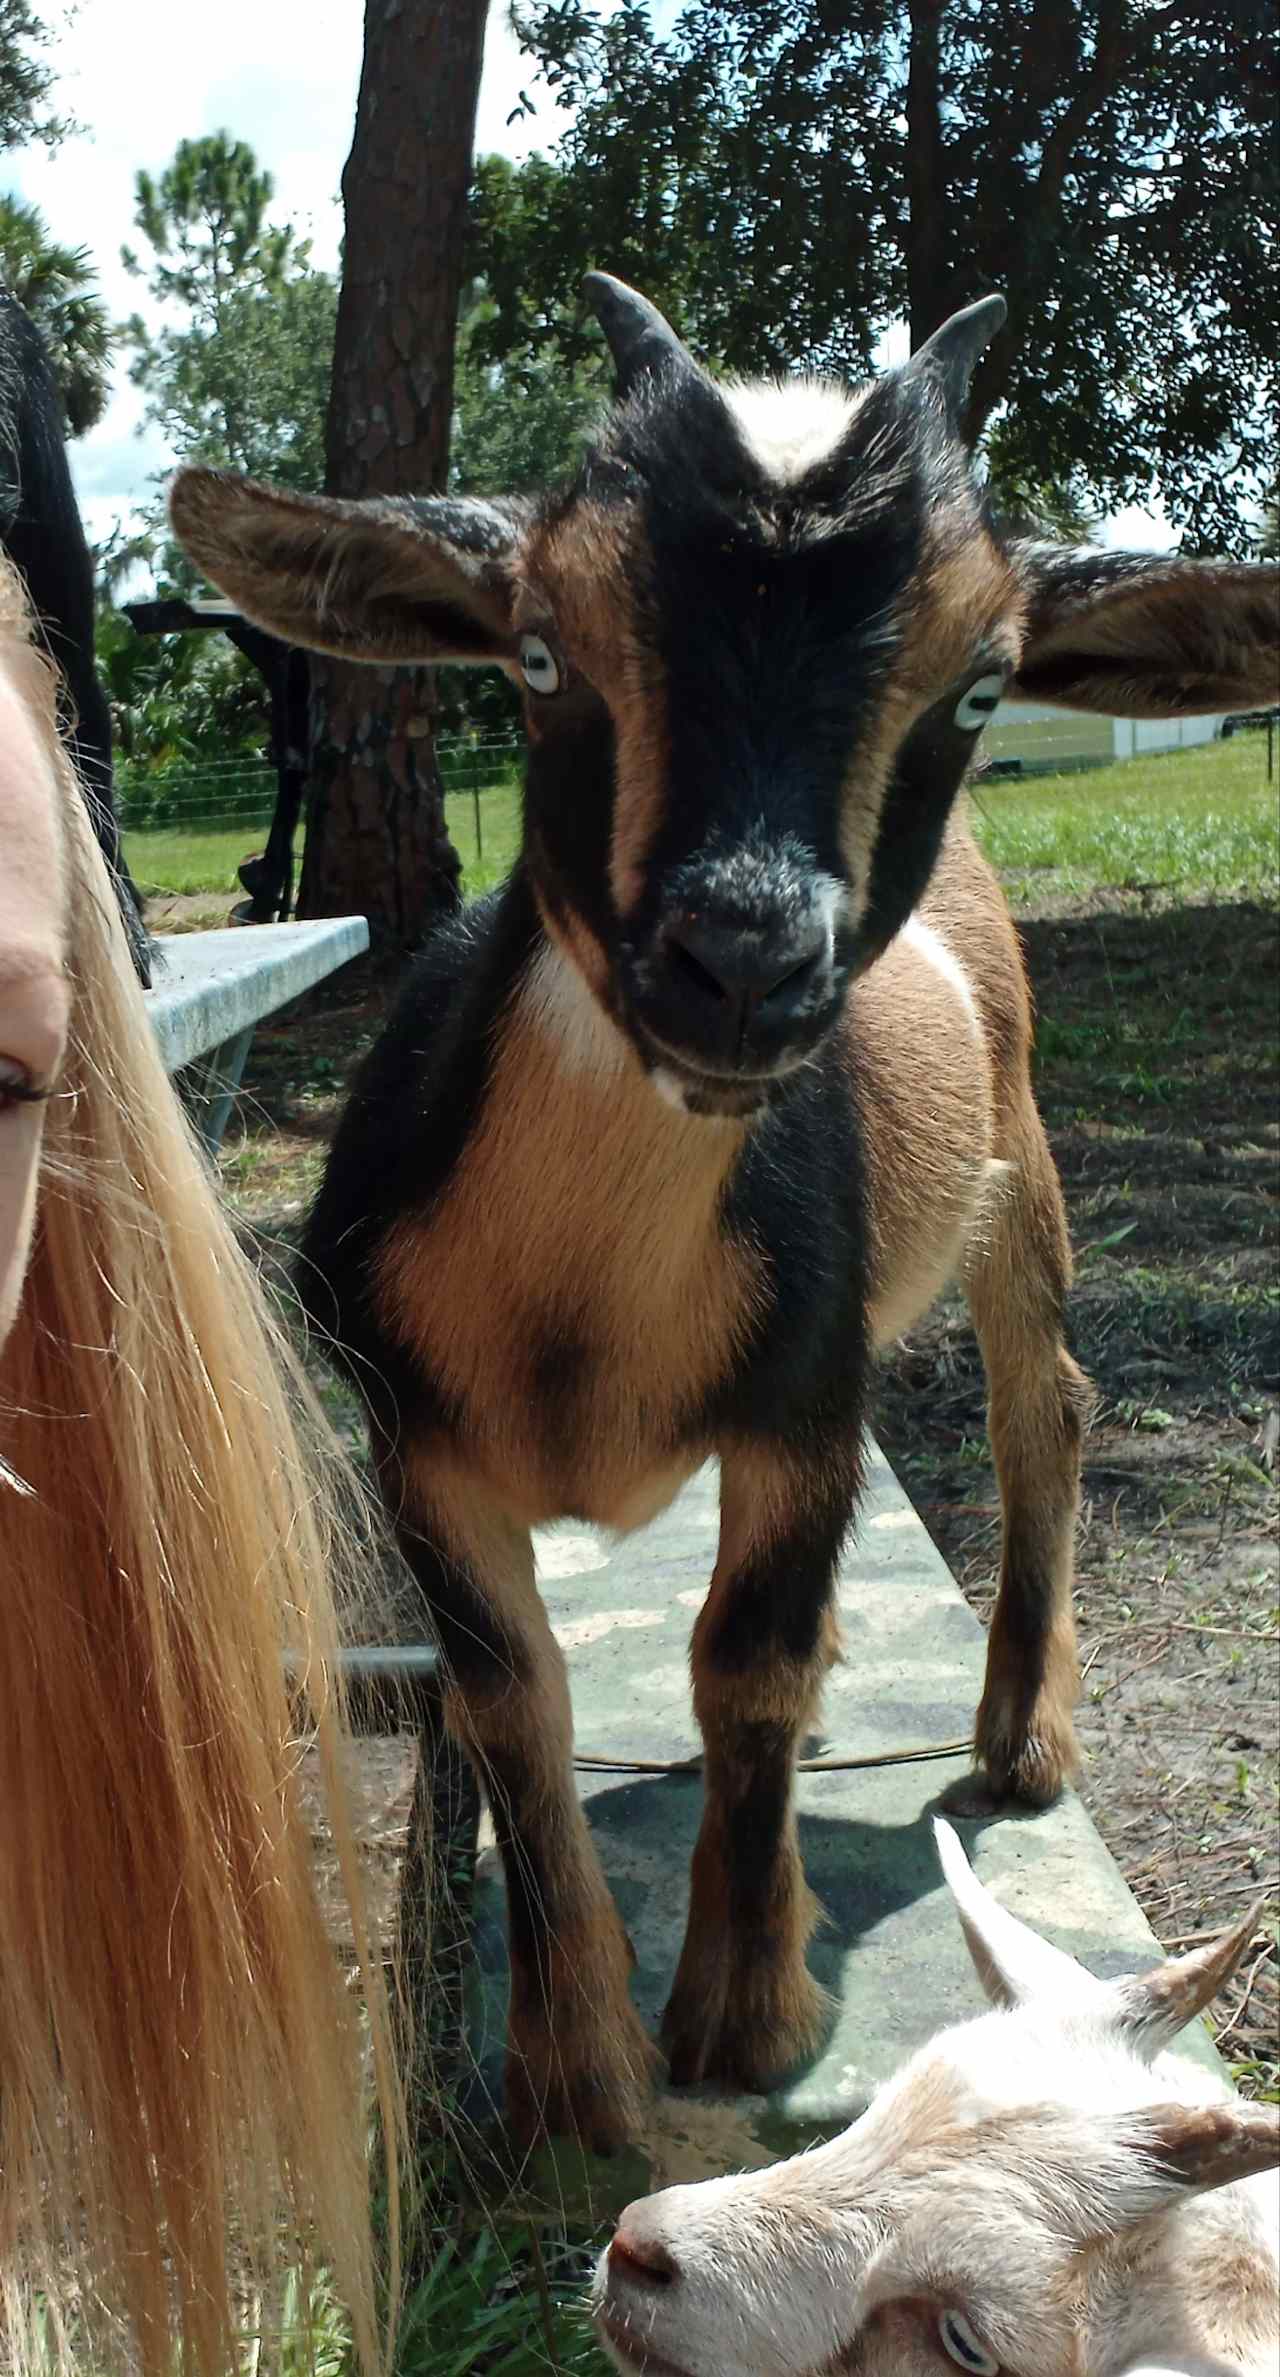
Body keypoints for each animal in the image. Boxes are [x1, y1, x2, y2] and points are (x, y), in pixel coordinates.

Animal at [168, 282, 1275, 2158]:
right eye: (539, 653)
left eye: (981, 683)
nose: (742, 962)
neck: (575, 1321)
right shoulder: (414, 1442)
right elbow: (508, 1695)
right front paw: (572, 2070)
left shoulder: (807, 1398)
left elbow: (742, 1663)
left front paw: (743, 2016)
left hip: (1019, 1152)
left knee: (1042, 1400)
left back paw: (1020, 1734)